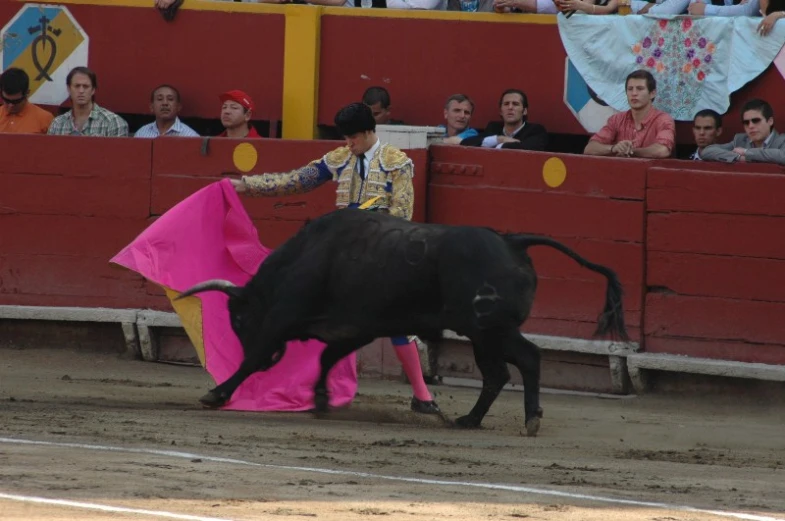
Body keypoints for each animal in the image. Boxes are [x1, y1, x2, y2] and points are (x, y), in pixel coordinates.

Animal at [178, 207, 632, 434]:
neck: (304, 257)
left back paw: (530, 419)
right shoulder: (356, 329)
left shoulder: (283, 318)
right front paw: (321, 400)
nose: (278, 359)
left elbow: (252, 358)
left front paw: (215, 394)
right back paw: (469, 420)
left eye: (238, 318)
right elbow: (326, 359)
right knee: (498, 374)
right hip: (482, 335)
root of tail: (510, 240)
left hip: (490, 329)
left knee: (528, 359)